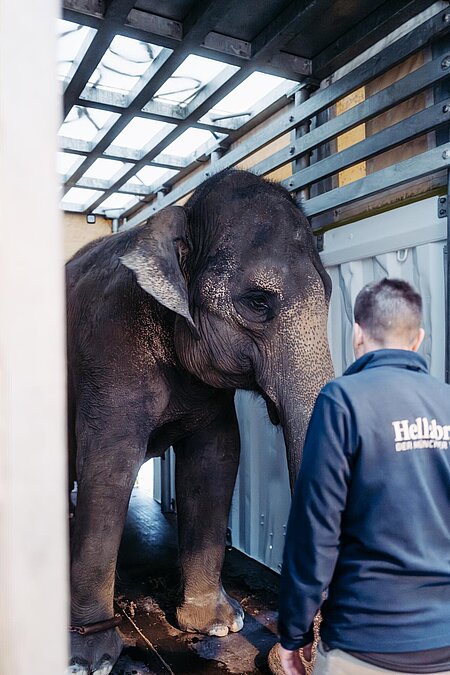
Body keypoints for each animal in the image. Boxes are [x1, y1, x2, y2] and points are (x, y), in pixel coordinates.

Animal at [67, 166, 334, 672]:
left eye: (329, 293)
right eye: (257, 303)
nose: (302, 655)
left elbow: (217, 459)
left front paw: (217, 624)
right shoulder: (109, 353)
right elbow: (108, 466)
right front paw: (88, 659)